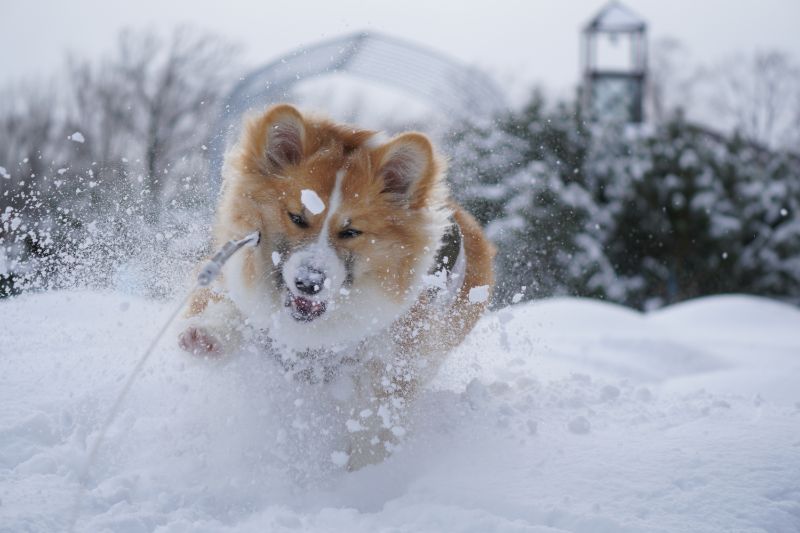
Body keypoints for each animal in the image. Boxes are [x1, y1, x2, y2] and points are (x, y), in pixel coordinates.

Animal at [180, 105, 494, 470]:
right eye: (297, 217)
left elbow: (374, 420)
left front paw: (361, 470)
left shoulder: (395, 362)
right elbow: (231, 309)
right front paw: (207, 334)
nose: (308, 283)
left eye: (351, 231)